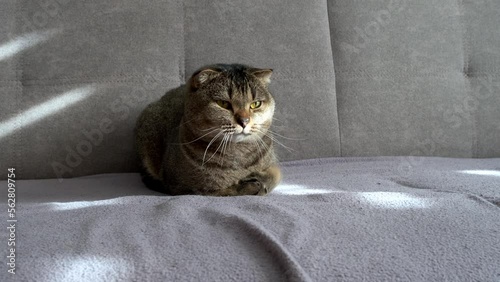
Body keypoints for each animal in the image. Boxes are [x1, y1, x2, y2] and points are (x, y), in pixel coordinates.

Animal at [133, 64, 282, 196]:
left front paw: (259, 181)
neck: (238, 156)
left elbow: (275, 175)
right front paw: (250, 186)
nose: (244, 121)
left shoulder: (274, 165)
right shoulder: (183, 186)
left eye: (255, 104)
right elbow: (220, 191)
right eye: (223, 104)